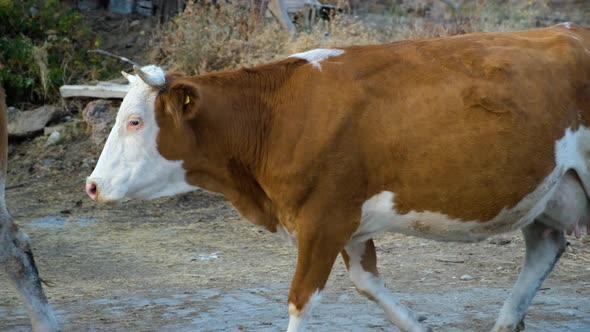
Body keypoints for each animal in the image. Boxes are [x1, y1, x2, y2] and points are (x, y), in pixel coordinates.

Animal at [85, 24, 588, 332]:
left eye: (134, 121)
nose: (91, 185)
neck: (277, 118)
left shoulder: (323, 220)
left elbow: (300, 299)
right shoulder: (347, 224)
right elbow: (367, 282)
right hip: (548, 190)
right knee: (543, 247)